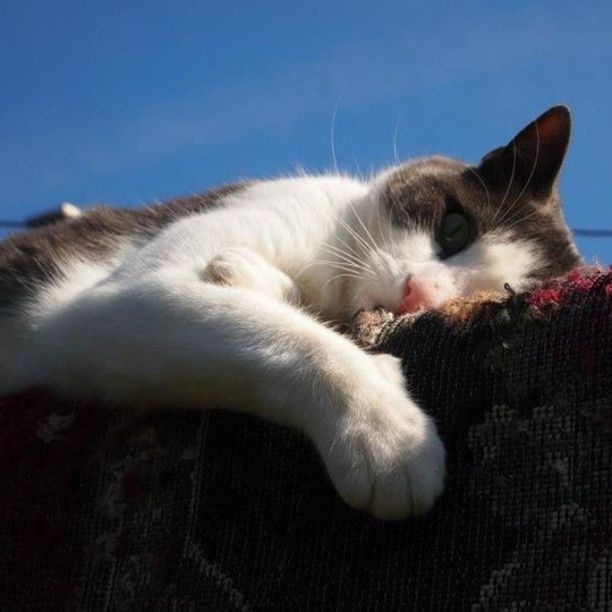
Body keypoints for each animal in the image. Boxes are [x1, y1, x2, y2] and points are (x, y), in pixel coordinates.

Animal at [0, 107, 580, 520]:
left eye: (485, 298)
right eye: (455, 229)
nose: (418, 294)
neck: (328, 261)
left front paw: (252, 278)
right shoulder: (111, 300)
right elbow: (290, 338)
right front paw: (387, 433)